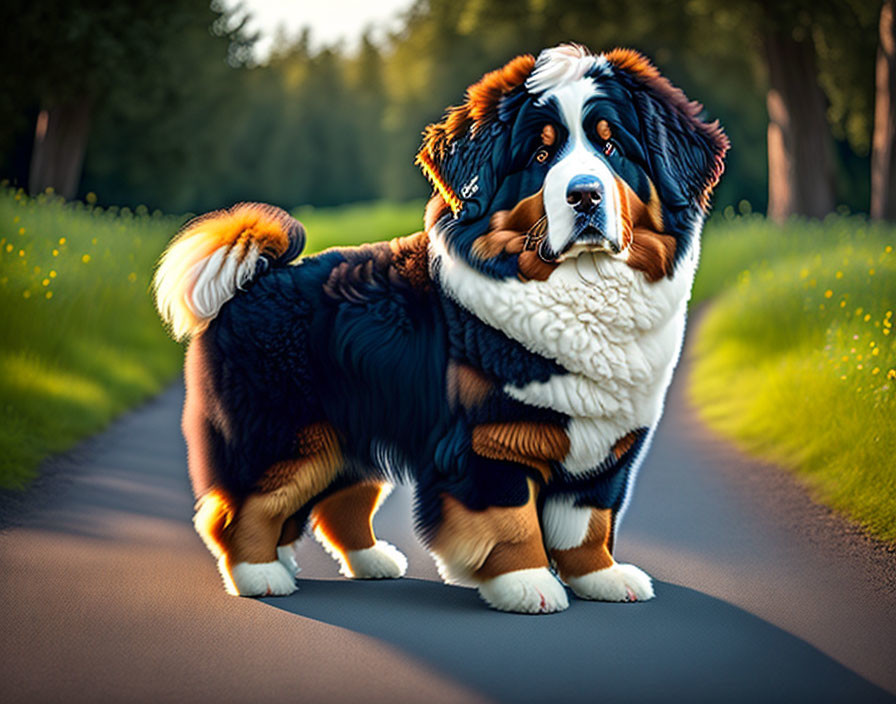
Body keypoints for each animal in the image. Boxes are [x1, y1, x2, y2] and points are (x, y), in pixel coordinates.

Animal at [154, 44, 728, 612]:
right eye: (540, 158)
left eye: (612, 149)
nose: (585, 195)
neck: (577, 288)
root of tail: (252, 280)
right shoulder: (489, 442)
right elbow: (512, 521)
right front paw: (527, 585)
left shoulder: (605, 447)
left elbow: (589, 522)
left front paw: (602, 578)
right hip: (287, 437)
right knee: (244, 507)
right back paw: (260, 574)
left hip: (349, 431)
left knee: (340, 502)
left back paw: (370, 562)